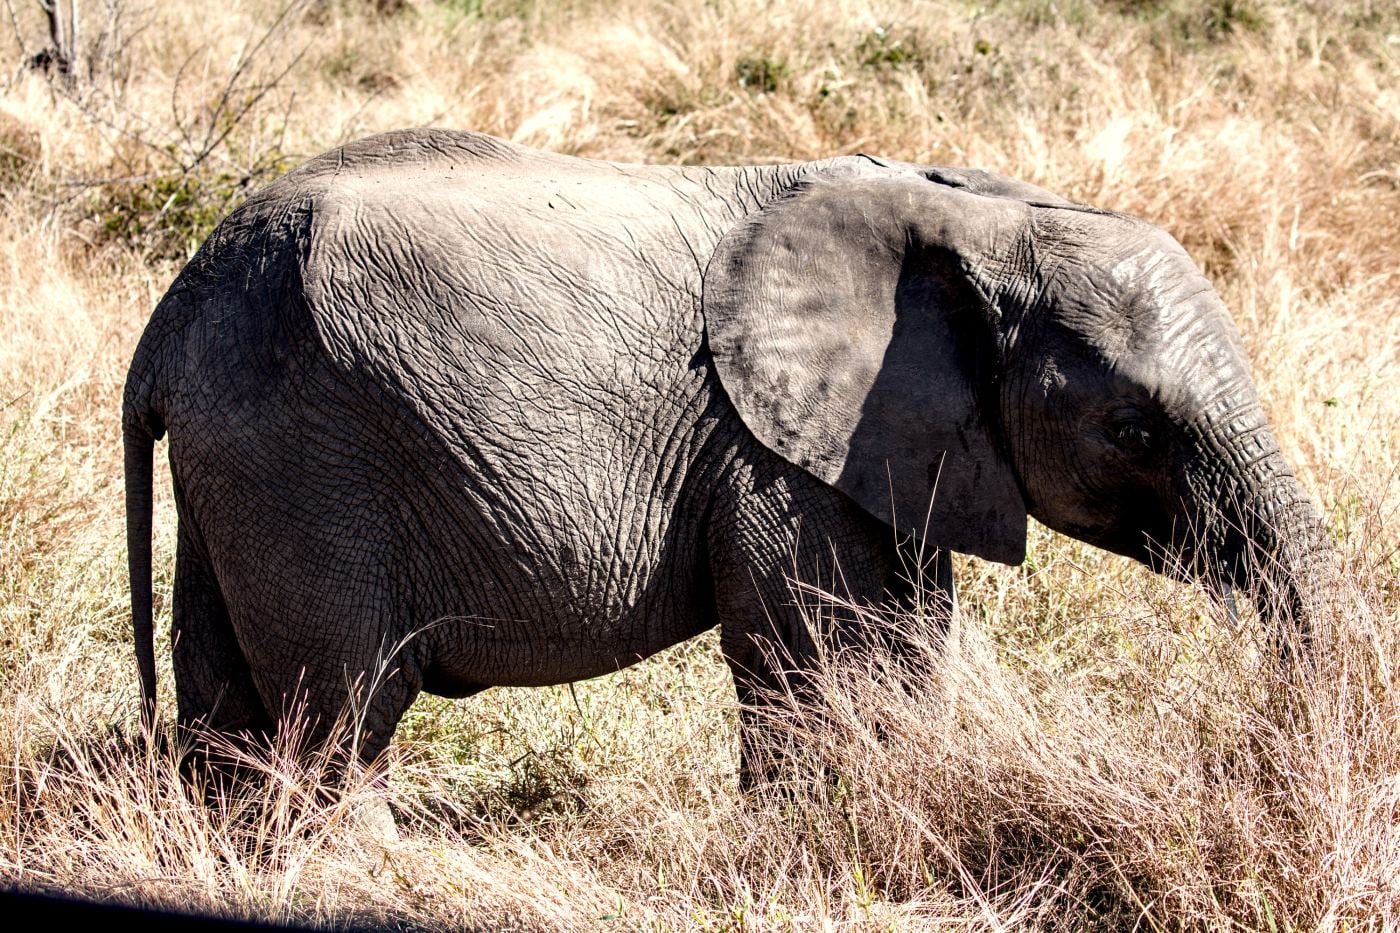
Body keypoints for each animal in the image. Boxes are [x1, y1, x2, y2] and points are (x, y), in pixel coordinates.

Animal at [124, 128, 1331, 783]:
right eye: (1133, 430)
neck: (970, 215)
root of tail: (170, 317)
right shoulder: (773, 458)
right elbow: (818, 659)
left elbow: (907, 638)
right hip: (304, 460)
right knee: (340, 711)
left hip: (236, 464)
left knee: (229, 701)